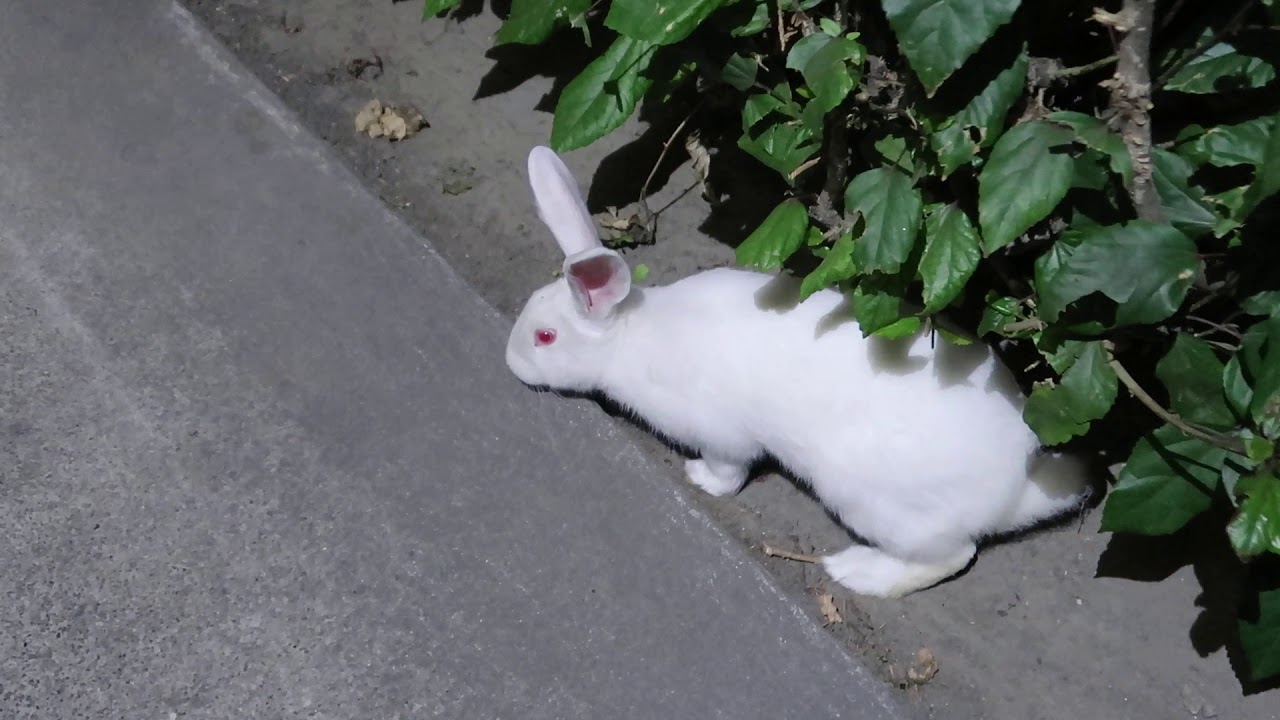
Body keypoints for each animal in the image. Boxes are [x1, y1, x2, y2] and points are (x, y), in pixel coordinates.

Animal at [506, 146, 1090, 598]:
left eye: (545, 337)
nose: (510, 362)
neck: (630, 335)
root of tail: (1014, 490)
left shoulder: (720, 434)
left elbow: (728, 471)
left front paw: (698, 479)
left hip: (873, 500)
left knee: (952, 556)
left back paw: (857, 573)